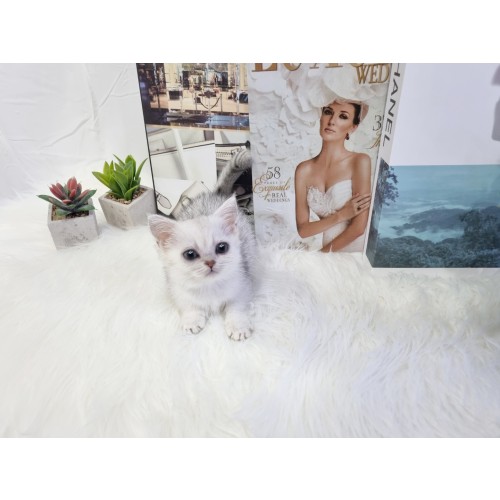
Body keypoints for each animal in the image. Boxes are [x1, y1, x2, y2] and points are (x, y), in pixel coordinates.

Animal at [148, 147, 256, 341]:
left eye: (222, 248)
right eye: (190, 254)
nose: (210, 262)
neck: (209, 286)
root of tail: (215, 194)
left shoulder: (242, 285)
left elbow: (236, 307)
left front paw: (238, 326)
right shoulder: (178, 290)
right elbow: (189, 306)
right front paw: (192, 320)